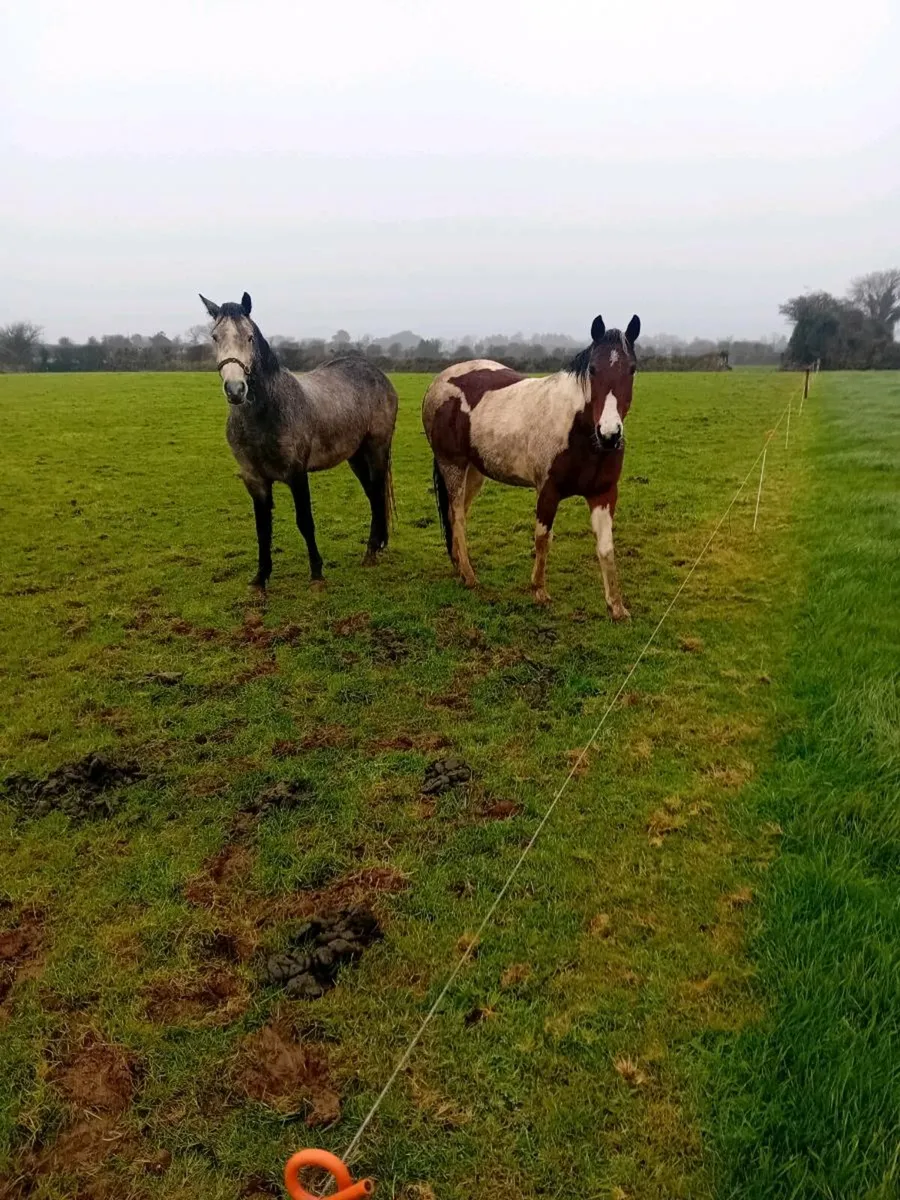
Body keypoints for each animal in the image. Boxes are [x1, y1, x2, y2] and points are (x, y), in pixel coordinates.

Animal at [199, 292, 398, 588]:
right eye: (215, 337)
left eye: (249, 337)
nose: (235, 389)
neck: (266, 413)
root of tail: (377, 374)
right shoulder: (254, 479)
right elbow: (262, 528)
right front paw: (261, 577)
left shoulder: (296, 474)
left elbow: (305, 520)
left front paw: (316, 573)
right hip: (355, 455)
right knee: (373, 493)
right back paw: (375, 546)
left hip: (376, 449)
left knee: (377, 491)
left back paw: (373, 548)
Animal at [422, 314, 641, 619]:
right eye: (594, 369)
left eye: (631, 369)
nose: (610, 434)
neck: (579, 430)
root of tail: (439, 382)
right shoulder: (548, 491)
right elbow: (542, 539)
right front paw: (539, 591)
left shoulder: (604, 494)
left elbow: (606, 547)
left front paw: (617, 607)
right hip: (452, 465)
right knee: (458, 516)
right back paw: (469, 575)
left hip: (474, 472)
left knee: (457, 515)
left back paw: (458, 567)